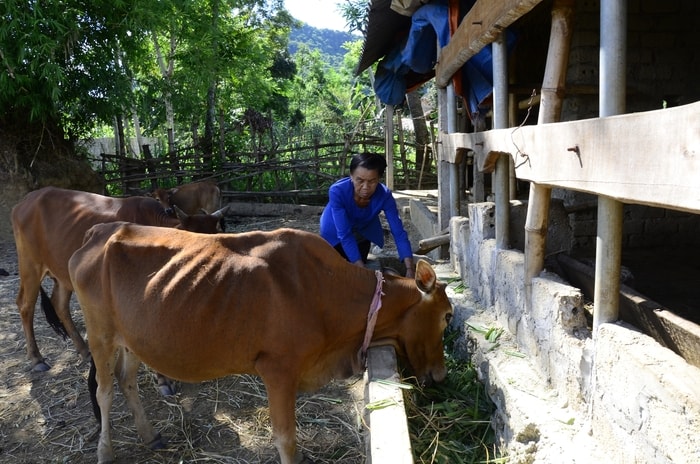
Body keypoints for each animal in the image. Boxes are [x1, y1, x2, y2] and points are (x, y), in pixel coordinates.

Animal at [9, 187, 228, 372]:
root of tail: (24, 202)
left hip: (61, 272)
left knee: (60, 305)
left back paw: (84, 350)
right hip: (30, 265)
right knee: (25, 305)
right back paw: (37, 358)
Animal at [68, 223, 452, 462]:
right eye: (447, 316)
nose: (441, 376)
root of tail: (99, 231)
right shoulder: (278, 369)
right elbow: (286, 438)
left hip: (132, 339)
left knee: (127, 380)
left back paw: (149, 434)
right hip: (100, 333)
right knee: (104, 391)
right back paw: (105, 451)